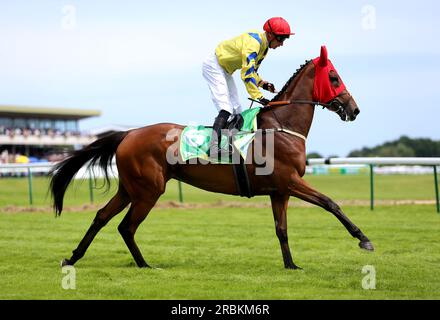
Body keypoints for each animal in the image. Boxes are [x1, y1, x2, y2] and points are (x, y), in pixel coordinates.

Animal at [51, 45, 374, 270]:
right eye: (334, 77)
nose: (355, 109)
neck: (281, 126)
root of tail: (128, 134)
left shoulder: (279, 191)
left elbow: (281, 229)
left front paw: (291, 264)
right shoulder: (290, 181)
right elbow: (330, 203)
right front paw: (363, 239)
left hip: (130, 188)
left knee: (102, 216)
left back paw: (74, 258)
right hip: (149, 190)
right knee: (126, 226)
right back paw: (143, 264)